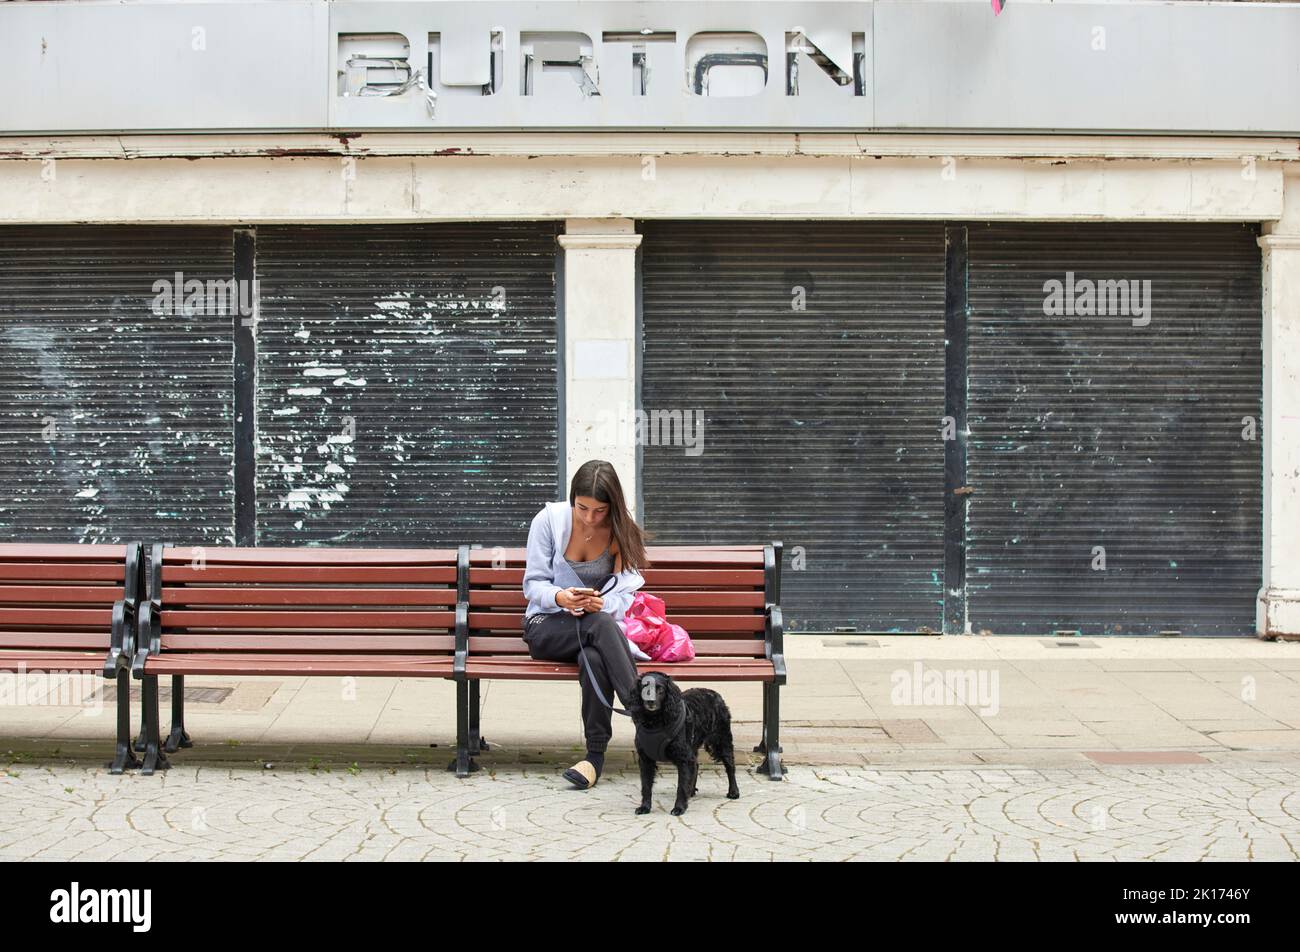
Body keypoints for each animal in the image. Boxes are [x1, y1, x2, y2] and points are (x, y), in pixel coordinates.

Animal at [629, 671, 743, 816]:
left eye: (660, 689)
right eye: (644, 687)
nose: (650, 701)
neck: (656, 722)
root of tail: (715, 694)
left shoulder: (683, 758)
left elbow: (681, 786)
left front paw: (679, 808)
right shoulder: (645, 759)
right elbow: (646, 786)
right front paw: (644, 807)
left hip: (722, 740)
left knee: (730, 766)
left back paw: (733, 791)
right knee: (696, 765)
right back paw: (692, 790)